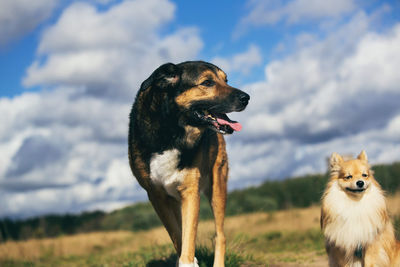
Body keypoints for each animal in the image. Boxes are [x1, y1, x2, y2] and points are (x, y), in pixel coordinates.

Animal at [128, 61, 248, 266]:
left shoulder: (190, 191)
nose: (246, 98)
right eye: (207, 82)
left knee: (220, 235)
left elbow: (188, 237)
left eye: (225, 80)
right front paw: (190, 261)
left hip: (217, 187)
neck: (171, 132)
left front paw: (189, 261)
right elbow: (178, 236)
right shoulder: (157, 196)